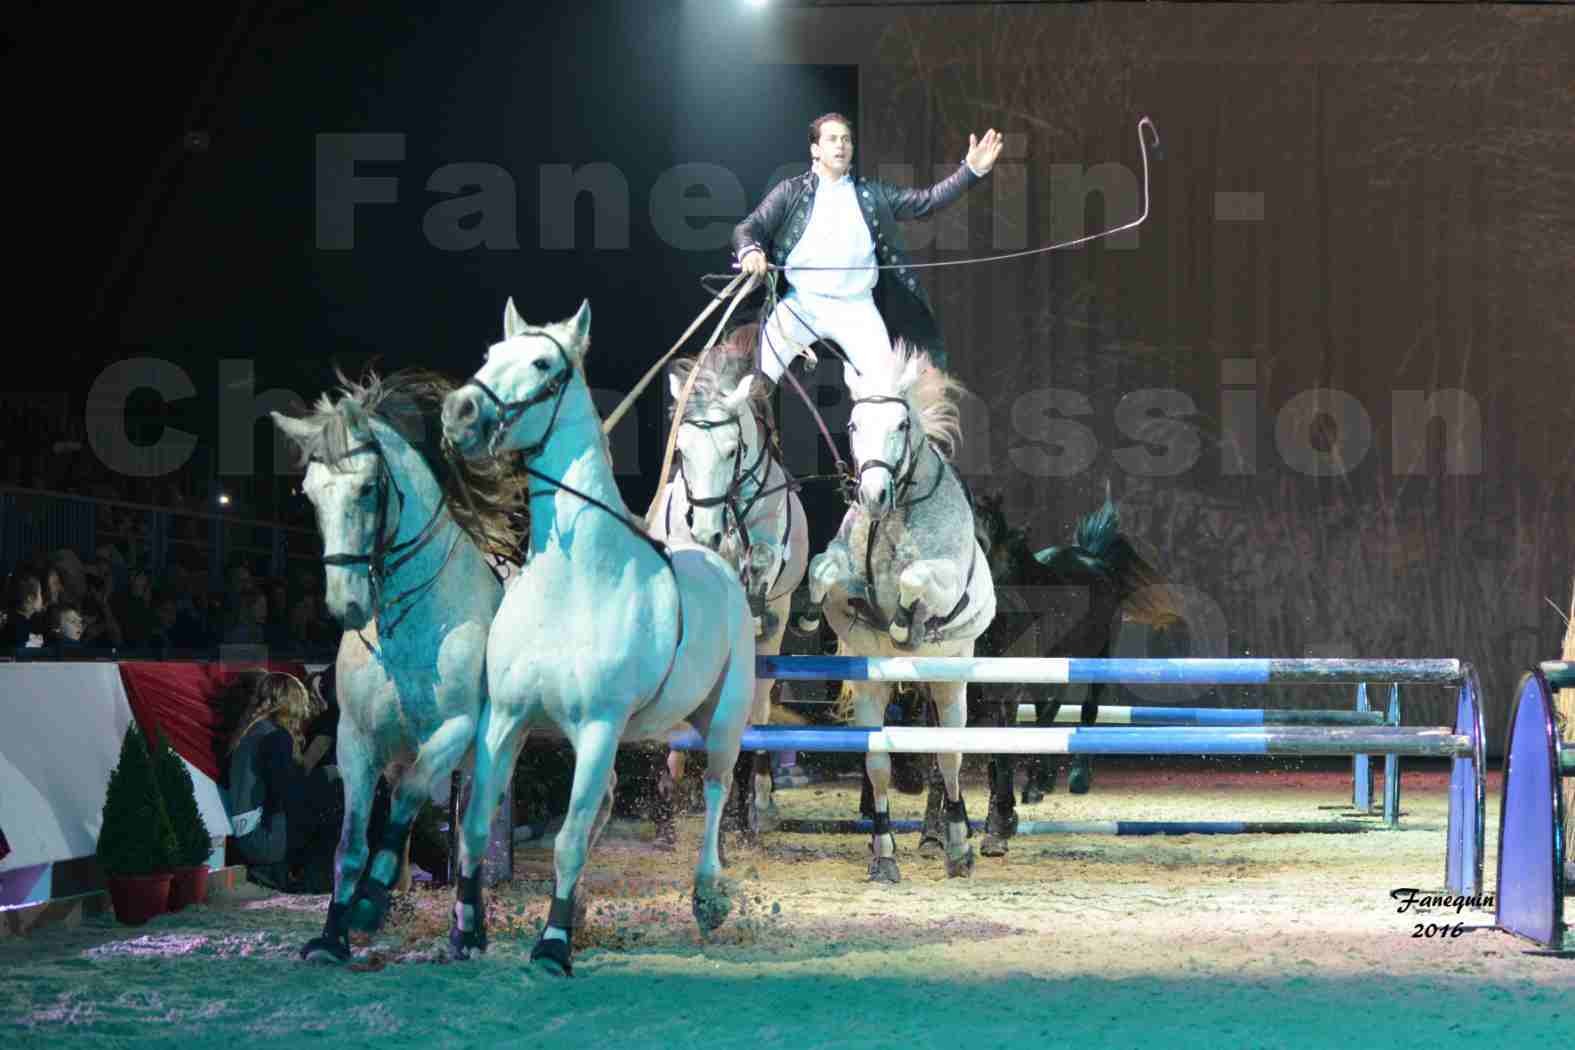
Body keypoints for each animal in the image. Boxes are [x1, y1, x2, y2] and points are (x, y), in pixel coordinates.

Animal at [267, 368, 519, 963]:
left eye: (366, 489)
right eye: (310, 495)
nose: (347, 606)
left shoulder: (456, 730)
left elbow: (407, 798)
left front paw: (369, 903)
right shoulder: (355, 740)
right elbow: (351, 842)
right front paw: (332, 935)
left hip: (489, 757)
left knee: (472, 837)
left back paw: (466, 931)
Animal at [437, 297, 756, 976]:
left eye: (542, 363)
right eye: (490, 355)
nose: (460, 412)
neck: (574, 580)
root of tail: (716, 561)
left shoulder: (598, 726)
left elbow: (568, 839)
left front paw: (552, 945)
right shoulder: (506, 718)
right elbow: (476, 826)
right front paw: (467, 931)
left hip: (724, 719)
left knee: (715, 790)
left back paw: (708, 897)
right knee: (607, 805)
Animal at [645, 329, 806, 843]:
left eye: (732, 451)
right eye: (681, 451)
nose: (707, 532)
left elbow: (759, 560)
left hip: (771, 641)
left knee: (756, 713)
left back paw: (752, 806)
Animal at [800, 343, 995, 881]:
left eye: (903, 425)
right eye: (852, 424)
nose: (871, 495)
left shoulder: (944, 583)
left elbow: (914, 580)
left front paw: (906, 624)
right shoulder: (842, 574)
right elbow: (823, 570)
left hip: (951, 680)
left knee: (949, 759)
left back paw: (958, 845)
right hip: (873, 687)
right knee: (880, 763)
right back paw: (886, 848)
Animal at [913, 488, 1184, 856]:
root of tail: (1091, 556)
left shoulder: (1005, 695)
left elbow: (999, 758)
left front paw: (997, 829)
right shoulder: (940, 698)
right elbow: (943, 763)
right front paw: (937, 834)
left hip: (1094, 657)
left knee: (1082, 711)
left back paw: (1069, 779)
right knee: (1045, 714)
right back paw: (1037, 783)